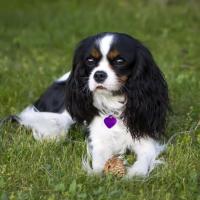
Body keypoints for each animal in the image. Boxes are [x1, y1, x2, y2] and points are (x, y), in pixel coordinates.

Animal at [15, 32, 170, 177]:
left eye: (119, 61)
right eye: (90, 60)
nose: (99, 74)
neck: (113, 104)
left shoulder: (145, 138)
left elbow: (144, 159)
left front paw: (135, 175)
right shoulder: (98, 139)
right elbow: (98, 160)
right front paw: (97, 175)